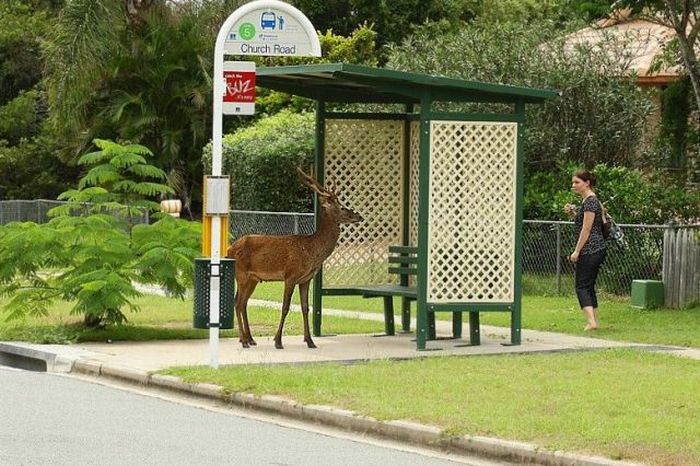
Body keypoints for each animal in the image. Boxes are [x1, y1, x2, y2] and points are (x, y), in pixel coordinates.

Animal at [227, 169, 364, 348]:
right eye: (341, 206)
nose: (359, 216)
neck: (311, 250)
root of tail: (229, 249)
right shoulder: (290, 275)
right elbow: (285, 307)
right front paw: (278, 341)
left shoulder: (306, 279)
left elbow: (306, 308)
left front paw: (310, 341)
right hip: (241, 274)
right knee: (237, 303)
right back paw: (244, 341)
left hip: (253, 279)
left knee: (242, 303)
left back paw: (250, 339)